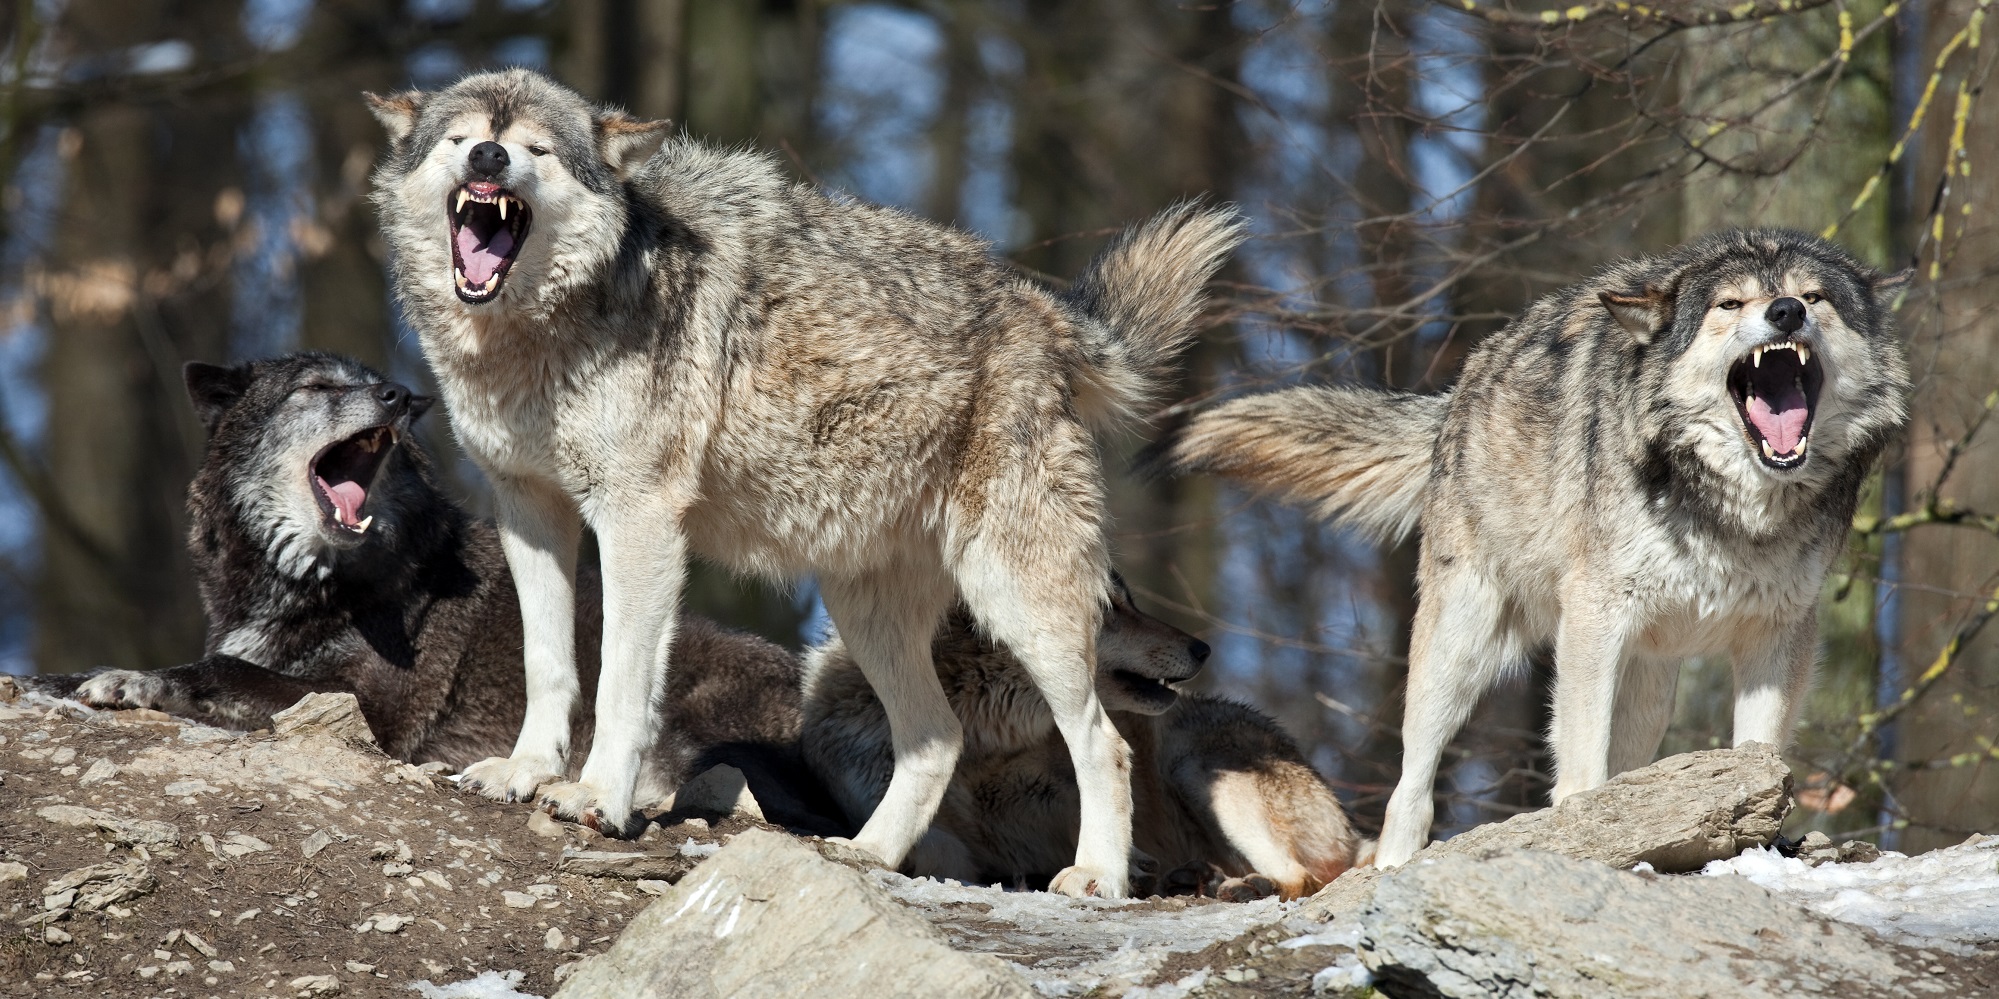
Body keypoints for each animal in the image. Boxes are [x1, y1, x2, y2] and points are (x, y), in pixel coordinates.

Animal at [29, 353, 843, 835]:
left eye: (371, 380)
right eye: (318, 387)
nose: (400, 395)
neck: (317, 580)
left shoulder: (368, 711)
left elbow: (222, 670)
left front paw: (129, 680)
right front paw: (63, 678)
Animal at [367, 70, 1239, 899]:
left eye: (536, 149)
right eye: (463, 137)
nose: (489, 158)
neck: (536, 332)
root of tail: (1045, 313)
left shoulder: (637, 519)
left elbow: (619, 678)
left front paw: (596, 797)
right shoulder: (529, 509)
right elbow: (546, 660)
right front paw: (523, 772)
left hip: (1020, 603)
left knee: (1104, 742)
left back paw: (1096, 876)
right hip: (866, 612)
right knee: (938, 738)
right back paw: (866, 854)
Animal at [799, 575, 1359, 903]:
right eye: (1108, 607)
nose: (1203, 649)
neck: (983, 740)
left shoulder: (1064, 798)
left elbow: (1097, 821)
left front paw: (1120, 868)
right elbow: (928, 842)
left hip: (1195, 767)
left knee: (1302, 879)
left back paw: (1243, 884)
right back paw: (1196, 878)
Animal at [1167, 229, 1911, 871]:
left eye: (1814, 297)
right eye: (1730, 305)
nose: (1785, 312)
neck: (1733, 508)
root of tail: (1458, 390)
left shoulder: (1779, 631)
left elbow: (1760, 750)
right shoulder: (1594, 614)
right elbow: (1578, 755)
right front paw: (1583, 828)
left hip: (1650, 685)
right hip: (1459, 648)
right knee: (1411, 781)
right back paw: (1396, 862)